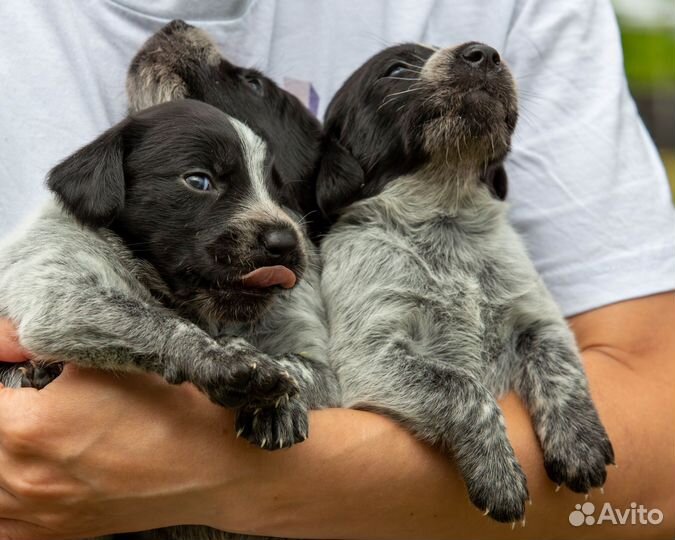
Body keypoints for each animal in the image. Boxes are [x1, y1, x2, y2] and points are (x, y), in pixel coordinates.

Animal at [320, 42, 616, 524]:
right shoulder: (370, 356)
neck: (448, 216)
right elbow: (464, 388)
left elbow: (563, 371)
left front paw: (579, 442)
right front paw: (498, 473)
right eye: (395, 69)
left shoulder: (540, 321)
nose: (485, 53)